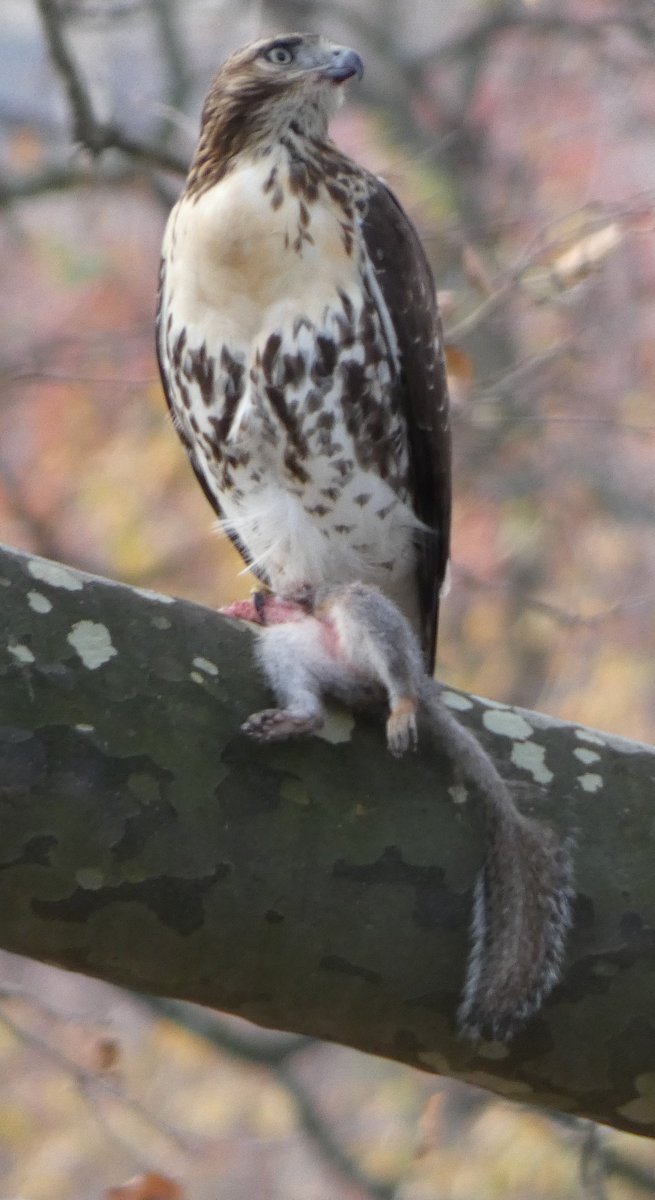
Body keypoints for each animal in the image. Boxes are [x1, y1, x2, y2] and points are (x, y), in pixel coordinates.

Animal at [235, 581, 574, 1041]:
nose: (260, 600)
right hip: (300, 651)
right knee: (314, 709)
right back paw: (292, 721)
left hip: (371, 623)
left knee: (394, 675)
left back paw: (402, 709)